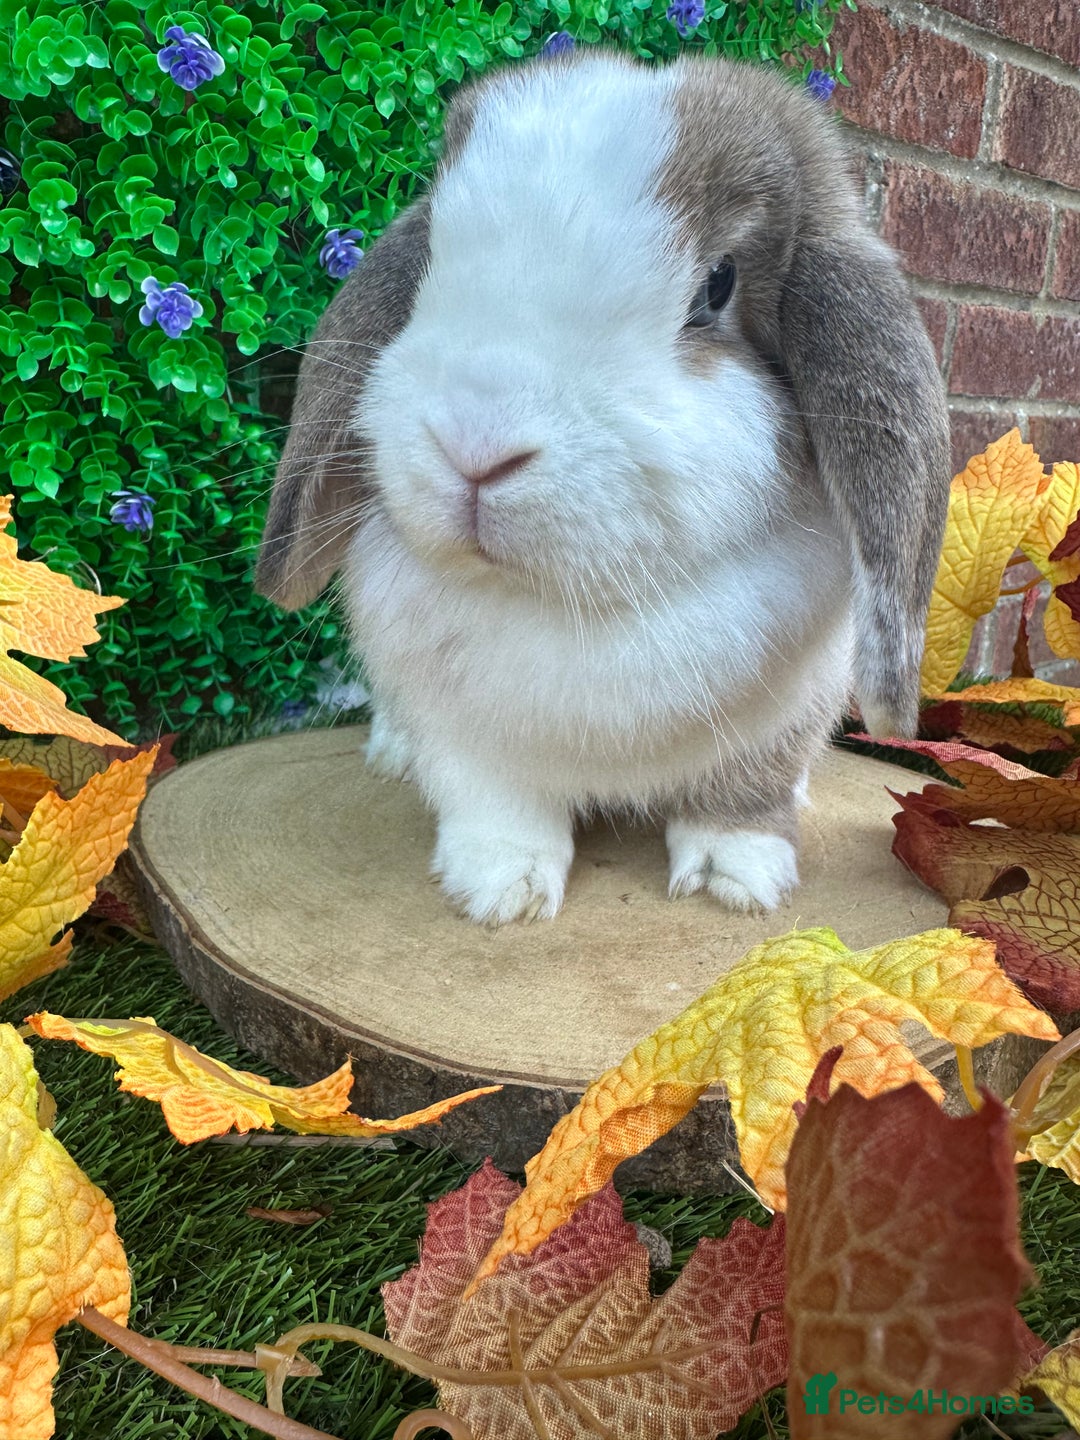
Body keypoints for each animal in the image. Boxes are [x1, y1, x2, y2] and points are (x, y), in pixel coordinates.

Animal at [256, 48, 950, 925]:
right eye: (428, 274)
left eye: (716, 288)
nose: (475, 445)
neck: (582, 604)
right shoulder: (468, 737)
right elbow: (497, 806)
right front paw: (501, 891)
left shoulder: (782, 720)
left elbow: (742, 797)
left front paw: (738, 880)